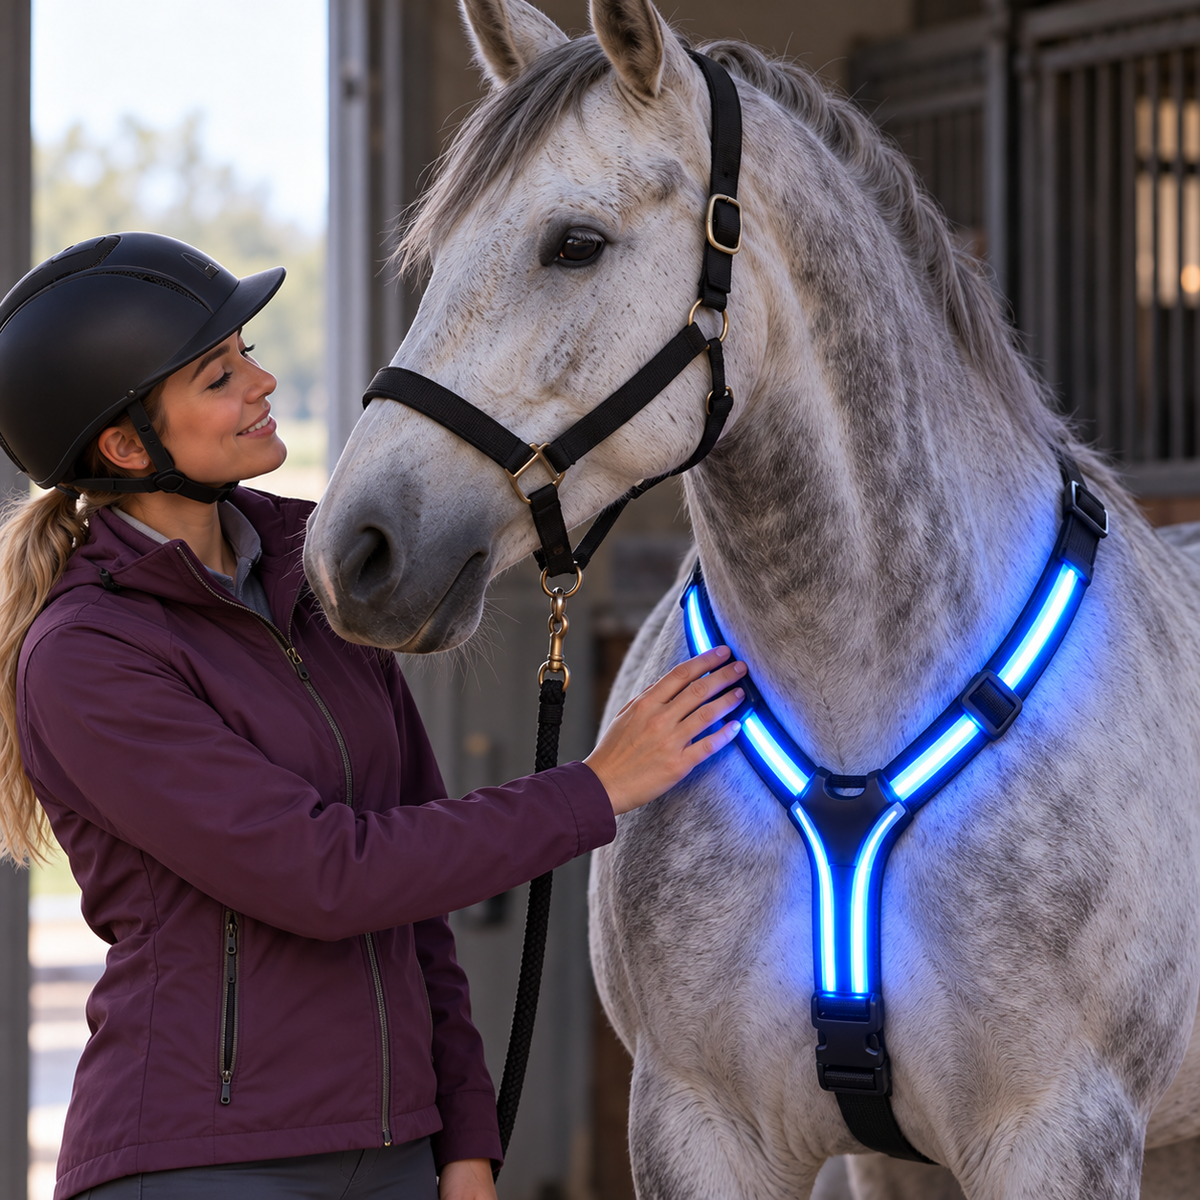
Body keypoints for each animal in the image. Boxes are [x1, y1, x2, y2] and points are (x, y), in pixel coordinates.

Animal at [303, 0, 1200, 1193]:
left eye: (574, 243)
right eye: (438, 255)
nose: (350, 551)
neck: (856, 719)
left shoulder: (1063, 1133)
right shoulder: (701, 1122)